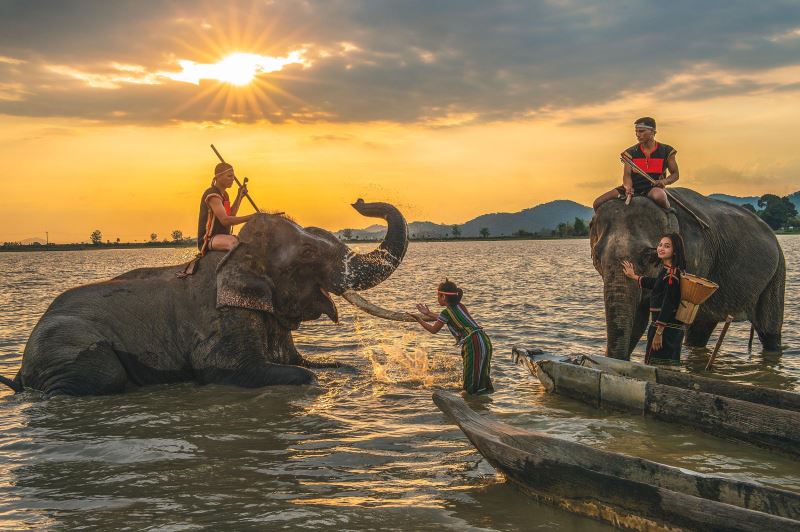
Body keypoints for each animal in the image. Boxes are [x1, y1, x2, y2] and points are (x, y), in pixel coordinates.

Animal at [0, 200, 410, 394]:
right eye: (309, 254)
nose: (358, 201)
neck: (238, 253)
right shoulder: (220, 318)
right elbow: (228, 368)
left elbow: (313, 363)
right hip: (67, 347)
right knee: (99, 378)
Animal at [592, 189, 784, 360]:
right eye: (597, 255)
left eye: (648, 255)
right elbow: (638, 319)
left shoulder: (692, 256)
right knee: (699, 329)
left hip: (776, 275)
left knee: (769, 331)